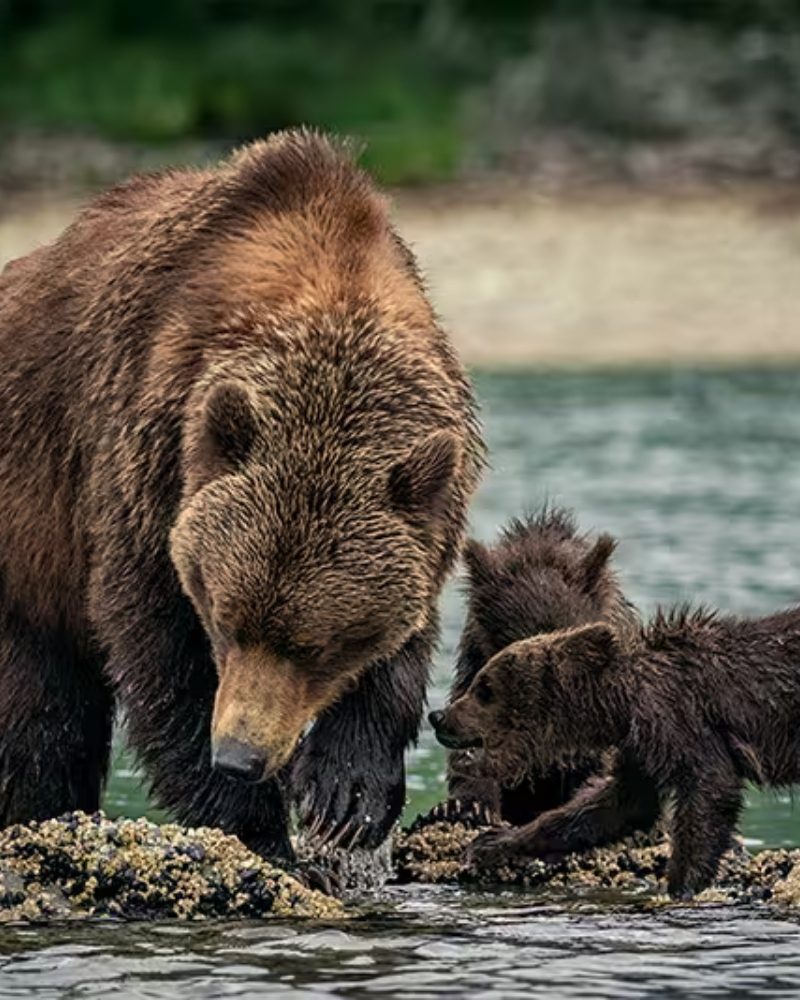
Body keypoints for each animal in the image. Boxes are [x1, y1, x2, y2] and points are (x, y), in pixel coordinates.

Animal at [0, 129, 484, 861]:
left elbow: (402, 647)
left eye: (317, 645)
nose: (239, 756)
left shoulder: (426, 507)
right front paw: (258, 827)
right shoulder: (148, 469)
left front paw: (347, 797)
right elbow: (160, 653)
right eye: (225, 620)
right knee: (40, 717)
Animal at [431, 608, 800, 897]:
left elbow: (709, 787)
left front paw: (680, 885)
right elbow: (616, 804)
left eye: (484, 689)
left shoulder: (676, 715)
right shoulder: (639, 746)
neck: (617, 705)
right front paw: (491, 842)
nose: (439, 716)